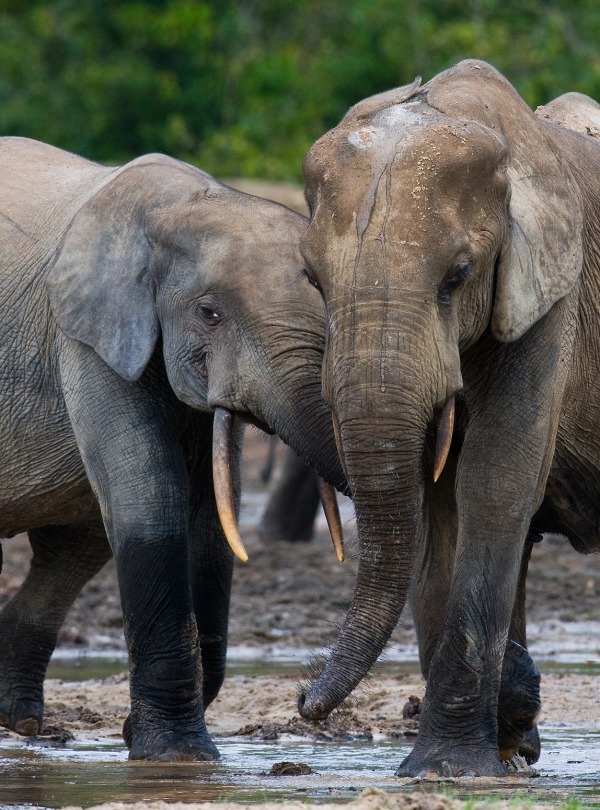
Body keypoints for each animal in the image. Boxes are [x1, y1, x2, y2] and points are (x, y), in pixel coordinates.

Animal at [0, 136, 346, 760]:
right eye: (209, 313)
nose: (305, 699)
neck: (179, 207)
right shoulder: (88, 335)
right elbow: (152, 503)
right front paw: (176, 756)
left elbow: (208, 520)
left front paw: (143, 736)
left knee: (76, 546)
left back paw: (23, 723)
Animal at [296, 60, 600, 772]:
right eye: (313, 280)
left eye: (458, 275)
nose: (304, 702)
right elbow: (436, 505)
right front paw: (481, 749)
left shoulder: (553, 295)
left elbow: (495, 477)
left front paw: (450, 768)